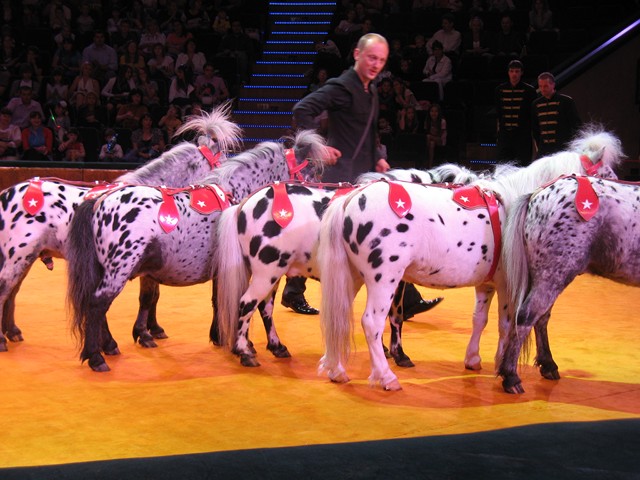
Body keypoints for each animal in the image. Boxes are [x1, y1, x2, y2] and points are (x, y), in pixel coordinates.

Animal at [0, 105, 242, 352]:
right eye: (222, 159)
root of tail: (8, 193)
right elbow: (148, 297)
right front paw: (141, 334)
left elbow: (151, 297)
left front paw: (151, 329)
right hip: (19, 256)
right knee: (5, 288)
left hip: (27, 257)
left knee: (12, 292)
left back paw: (12, 331)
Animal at [68, 128, 330, 372]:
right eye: (312, 172)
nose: (320, 196)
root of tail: (99, 201)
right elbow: (242, 304)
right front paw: (242, 343)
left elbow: (222, 301)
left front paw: (224, 337)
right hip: (119, 269)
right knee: (98, 304)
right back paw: (96, 356)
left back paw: (106, 346)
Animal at [212, 165, 478, 368]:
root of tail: (245, 204)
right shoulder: (393, 276)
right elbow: (394, 315)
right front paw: (398, 354)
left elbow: (389, 315)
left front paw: (388, 350)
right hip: (267, 270)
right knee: (246, 303)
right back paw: (244, 352)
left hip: (270, 272)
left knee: (263, 307)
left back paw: (272, 347)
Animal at [318, 124, 624, 390]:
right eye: (609, 176)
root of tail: (351, 197)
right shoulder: (511, 285)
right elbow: (508, 323)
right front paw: (505, 365)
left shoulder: (487, 284)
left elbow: (480, 320)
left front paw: (474, 359)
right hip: (384, 279)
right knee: (371, 322)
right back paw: (386, 377)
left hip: (352, 277)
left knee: (339, 317)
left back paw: (337, 370)